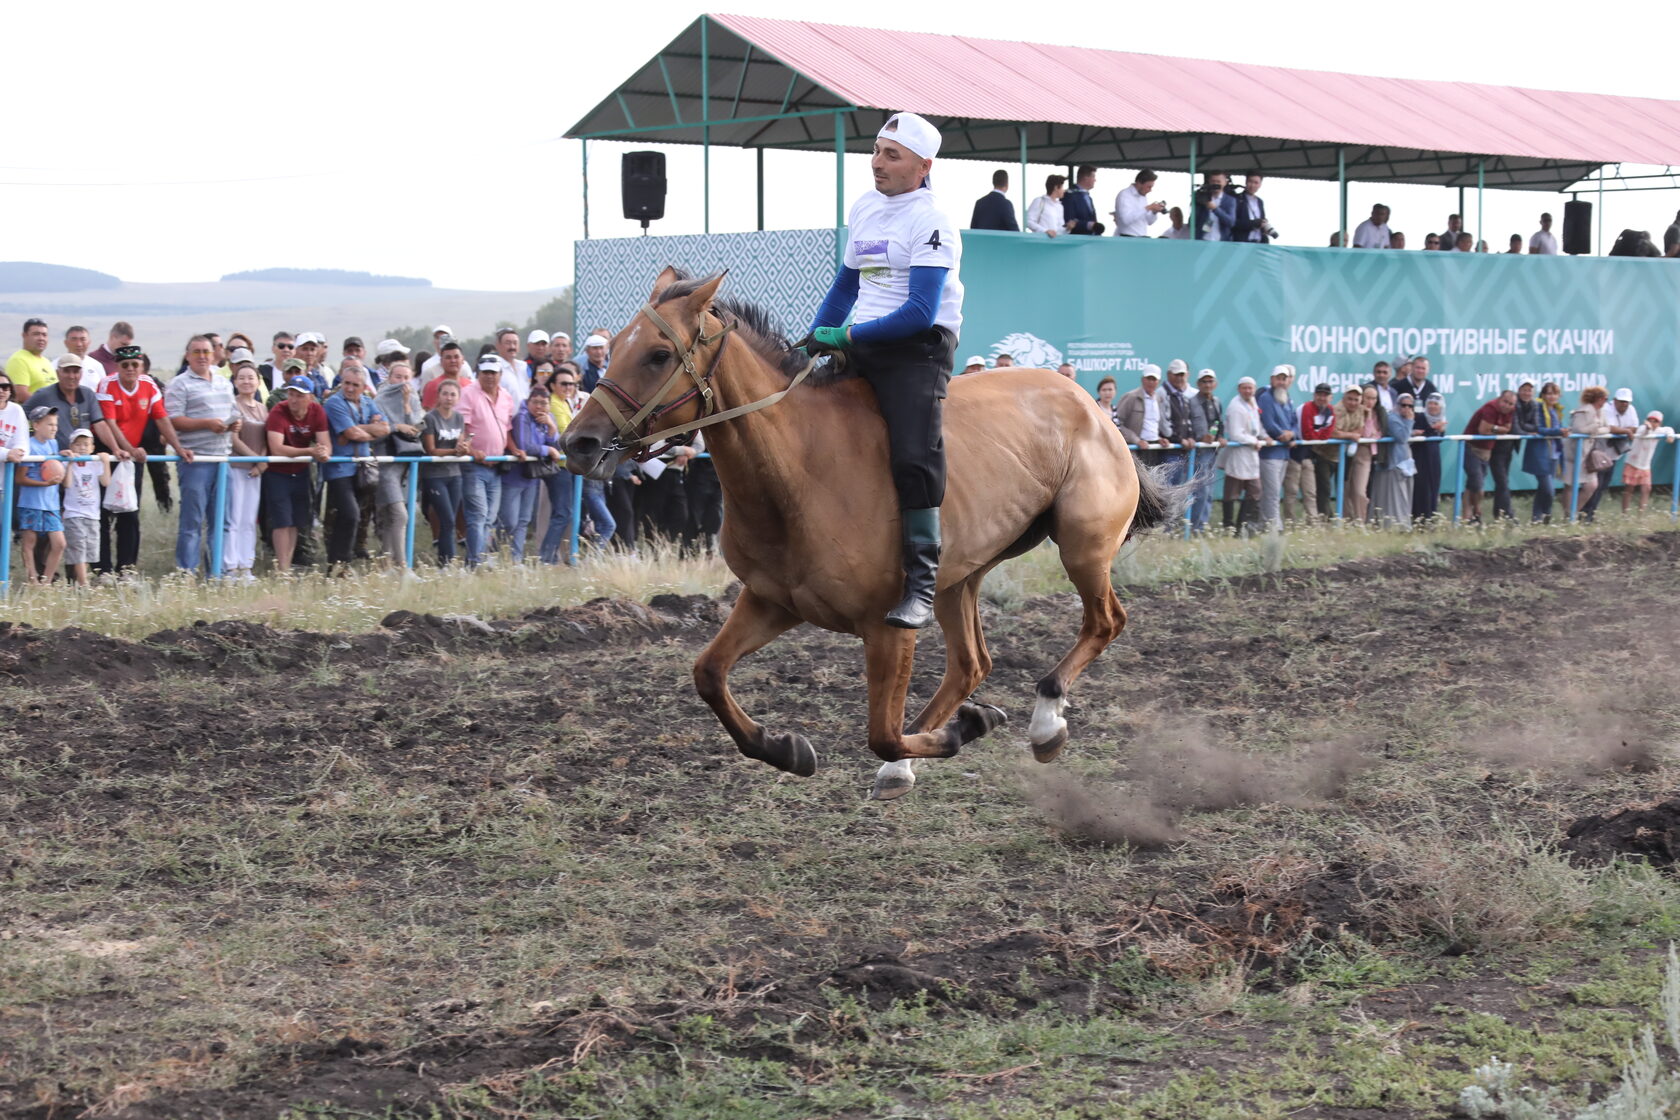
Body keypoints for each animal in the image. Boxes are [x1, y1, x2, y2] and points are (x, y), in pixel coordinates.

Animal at [564, 266, 1169, 802]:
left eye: (658, 355)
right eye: (614, 348)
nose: (579, 444)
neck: (798, 470)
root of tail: (1090, 404)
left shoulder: (888, 627)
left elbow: (881, 733)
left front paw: (964, 730)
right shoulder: (771, 601)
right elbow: (708, 673)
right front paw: (784, 748)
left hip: (1082, 546)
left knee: (1104, 621)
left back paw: (1044, 721)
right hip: (959, 577)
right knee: (972, 663)